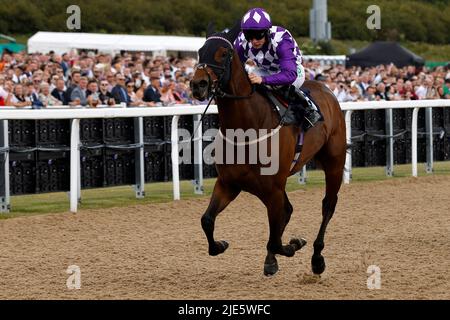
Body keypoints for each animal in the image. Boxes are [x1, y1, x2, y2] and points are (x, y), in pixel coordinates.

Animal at [192, 23, 346, 278]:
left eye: (223, 53)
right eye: (199, 51)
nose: (198, 85)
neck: (246, 128)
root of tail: (326, 89)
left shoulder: (272, 188)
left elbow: (275, 239)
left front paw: (293, 245)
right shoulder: (229, 183)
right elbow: (206, 220)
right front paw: (220, 245)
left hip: (334, 162)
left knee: (328, 206)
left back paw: (317, 258)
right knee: (288, 211)